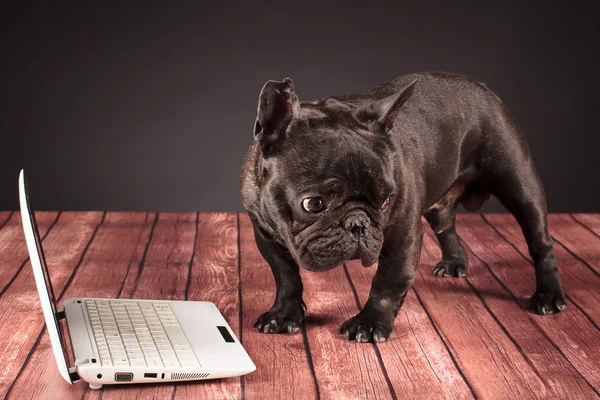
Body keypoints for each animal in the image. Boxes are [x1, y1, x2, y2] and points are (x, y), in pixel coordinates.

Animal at [238, 72, 564, 344]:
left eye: (386, 201)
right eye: (313, 204)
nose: (358, 223)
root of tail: (483, 88)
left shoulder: (404, 235)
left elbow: (388, 281)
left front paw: (369, 323)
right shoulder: (265, 233)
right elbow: (286, 276)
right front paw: (283, 314)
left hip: (519, 184)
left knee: (540, 241)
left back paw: (548, 295)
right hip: (442, 201)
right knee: (446, 223)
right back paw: (453, 263)